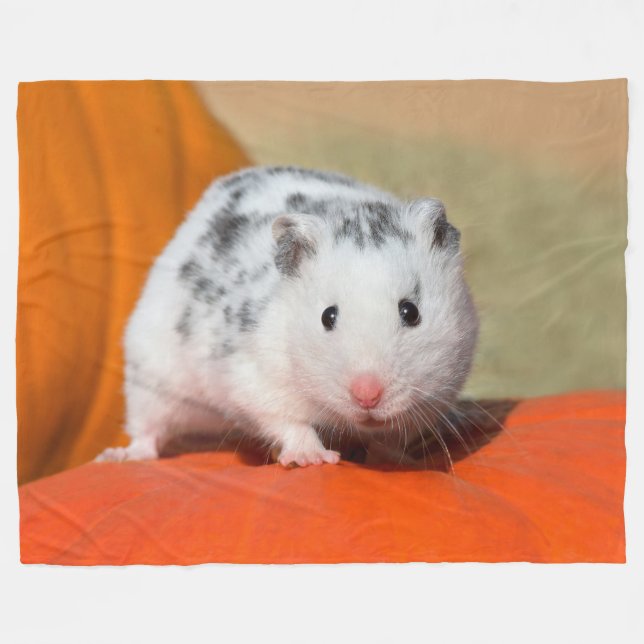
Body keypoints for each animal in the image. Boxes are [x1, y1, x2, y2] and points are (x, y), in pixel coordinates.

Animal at [96, 166, 479, 468]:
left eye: (410, 312)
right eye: (327, 316)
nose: (367, 397)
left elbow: (394, 437)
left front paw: (392, 456)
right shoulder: (256, 380)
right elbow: (289, 422)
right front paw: (313, 459)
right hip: (151, 375)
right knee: (147, 430)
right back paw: (118, 456)